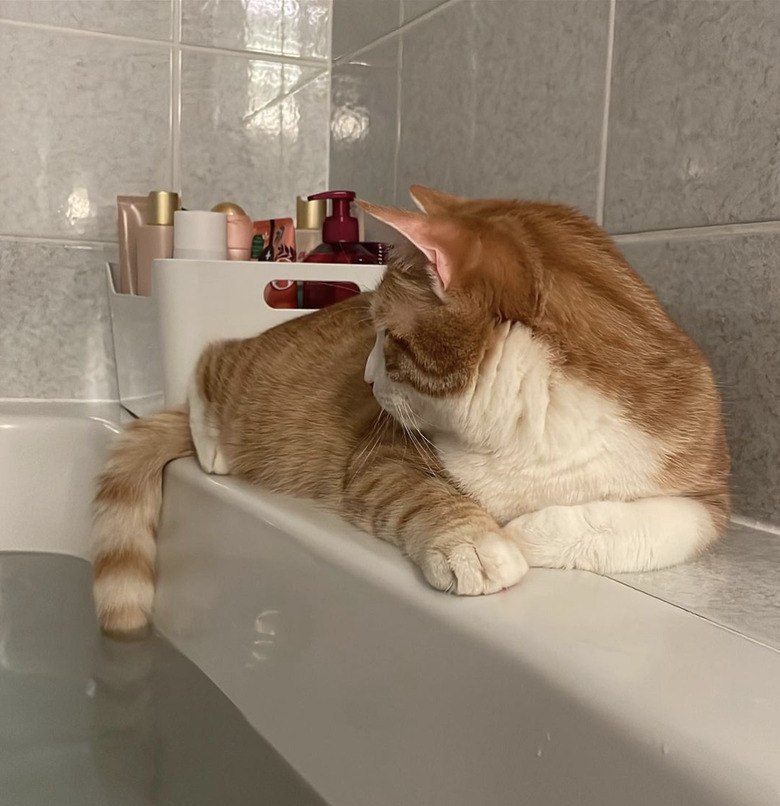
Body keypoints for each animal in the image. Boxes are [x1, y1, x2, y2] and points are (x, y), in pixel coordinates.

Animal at [93, 186, 732, 636]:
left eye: (385, 335)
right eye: (369, 330)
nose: (366, 377)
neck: (541, 421)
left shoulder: (708, 497)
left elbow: (655, 526)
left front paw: (532, 531)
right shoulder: (382, 460)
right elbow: (428, 496)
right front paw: (479, 541)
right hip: (246, 382)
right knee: (209, 360)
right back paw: (212, 442)